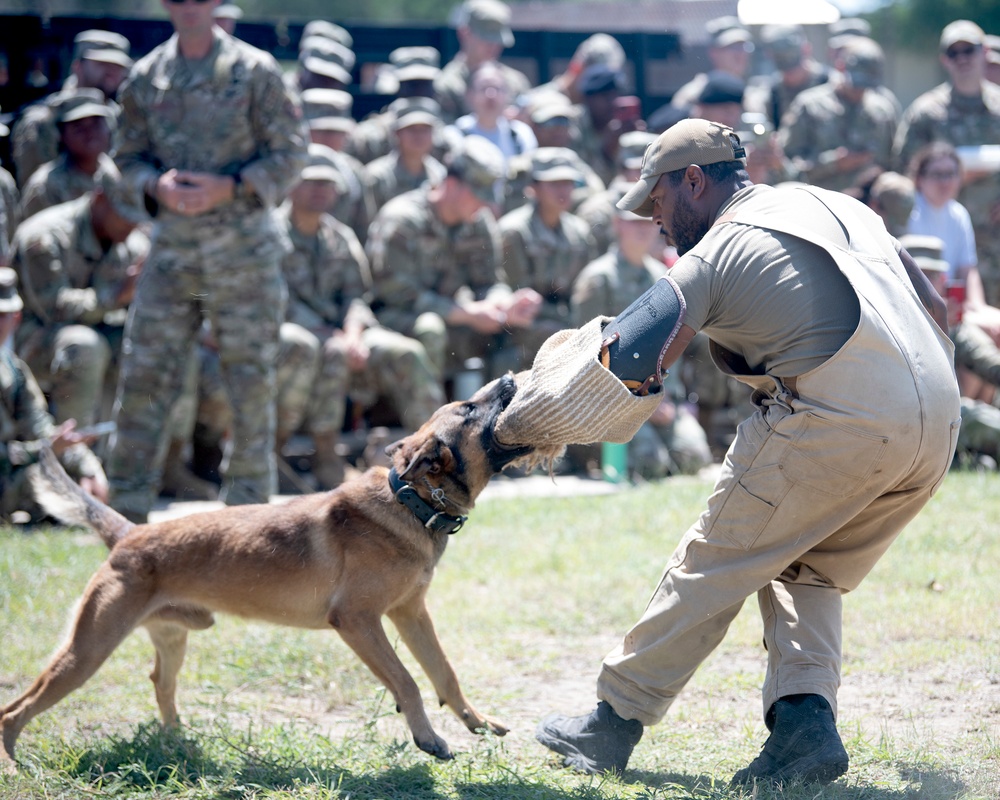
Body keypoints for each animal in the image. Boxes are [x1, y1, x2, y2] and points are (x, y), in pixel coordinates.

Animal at [0, 376, 540, 776]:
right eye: (469, 408)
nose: (511, 378)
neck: (412, 501)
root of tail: (129, 534)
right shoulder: (358, 621)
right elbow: (407, 680)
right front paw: (427, 737)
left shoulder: (411, 614)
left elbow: (444, 672)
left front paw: (476, 721)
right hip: (86, 652)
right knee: (15, 709)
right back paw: (12, 765)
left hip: (172, 639)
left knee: (160, 683)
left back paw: (180, 746)